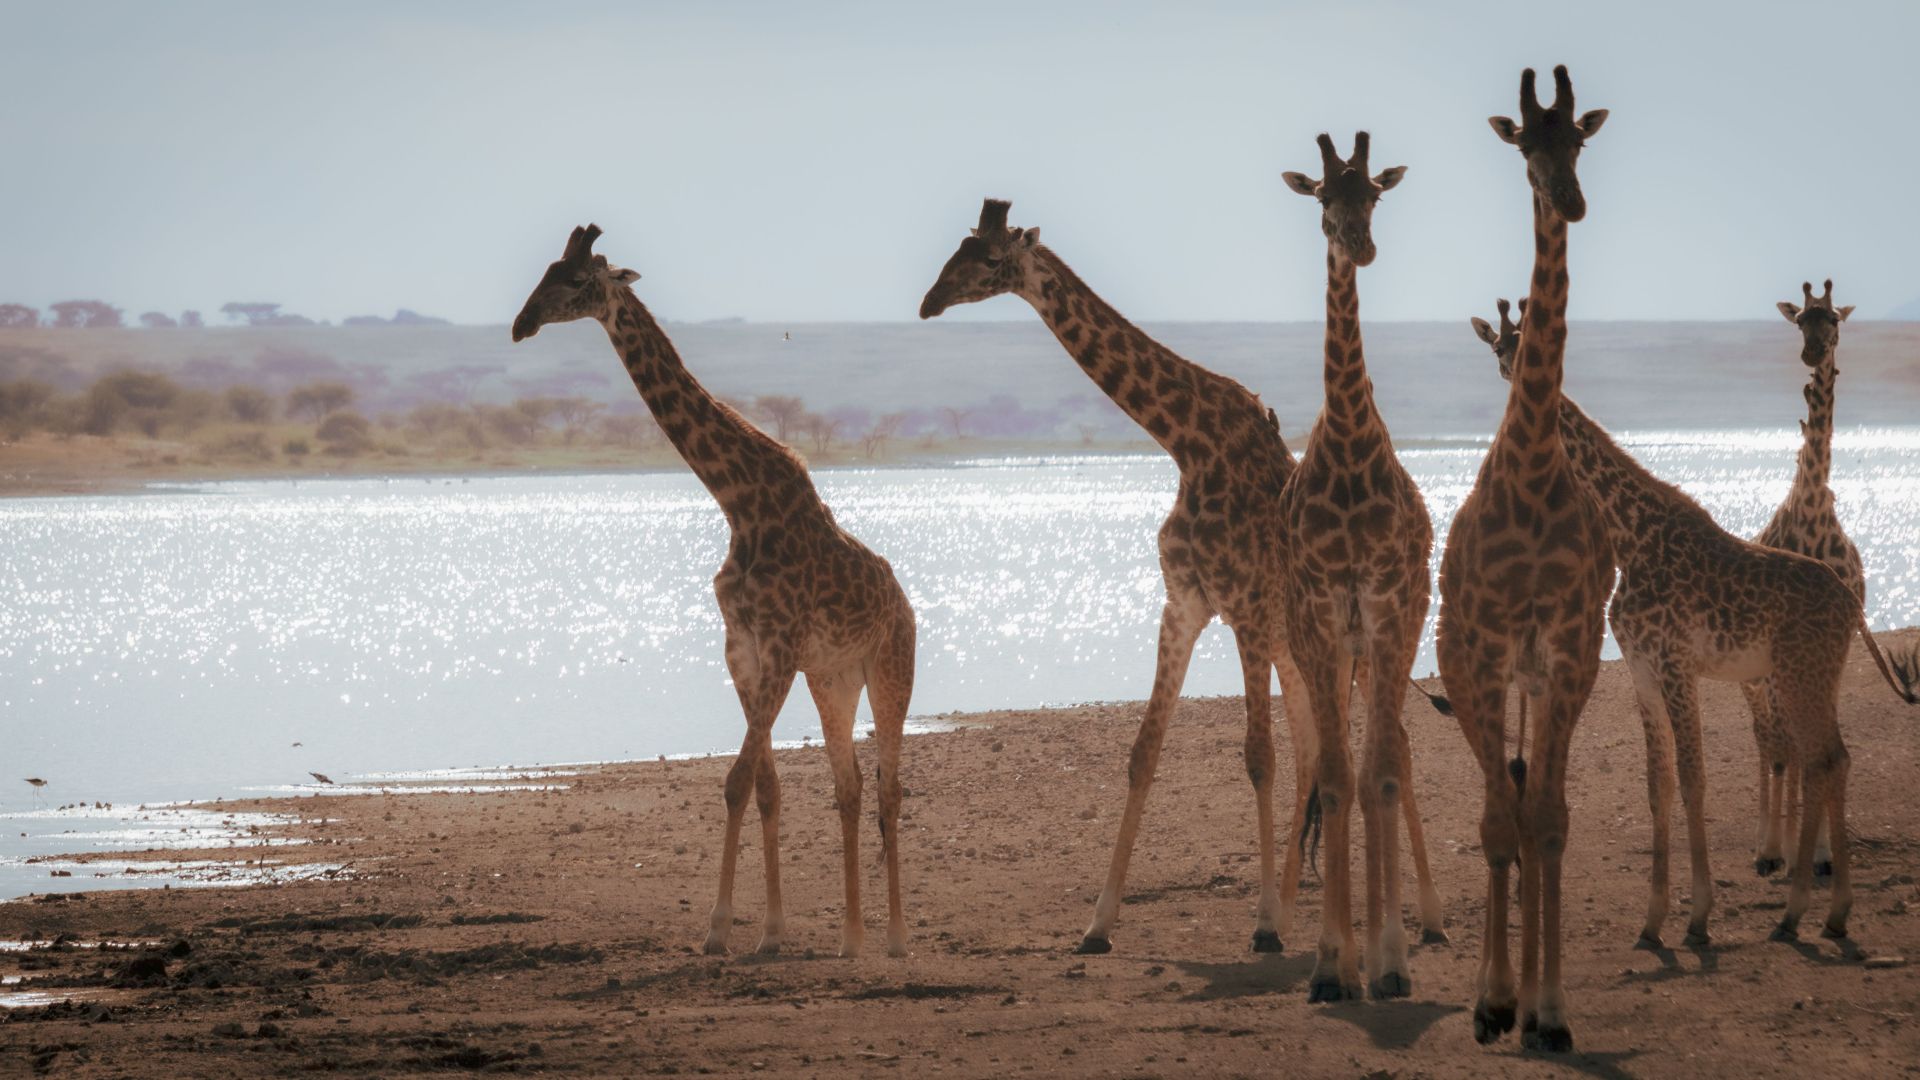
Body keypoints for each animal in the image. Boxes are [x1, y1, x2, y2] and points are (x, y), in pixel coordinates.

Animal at [512, 225, 918, 959]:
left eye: (577, 280)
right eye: (545, 271)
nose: (520, 324)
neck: (738, 500)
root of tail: (904, 601)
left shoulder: (781, 644)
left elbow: (736, 780)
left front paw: (719, 927)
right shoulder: (743, 646)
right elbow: (762, 786)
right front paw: (770, 931)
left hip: (891, 668)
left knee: (889, 790)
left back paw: (897, 939)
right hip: (834, 679)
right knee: (848, 786)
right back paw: (850, 938)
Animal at [918, 198, 1446, 956]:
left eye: (990, 259)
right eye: (957, 249)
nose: (929, 302)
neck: (1188, 444)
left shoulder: (1247, 610)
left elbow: (1258, 757)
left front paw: (1263, 925)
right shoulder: (1185, 605)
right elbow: (1144, 753)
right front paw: (1099, 924)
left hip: (1368, 640)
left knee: (1393, 748)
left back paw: (1422, 916)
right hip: (1306, 655)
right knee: (1323, 753)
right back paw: (1312, 911)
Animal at [1468, 294, 1920, 958]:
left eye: (1523, 341)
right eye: (1497, 345)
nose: (1509, 371)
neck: (1628, 537)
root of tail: (1852, 601)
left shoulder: (1678, 663)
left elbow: (1694, 779)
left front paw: (1699, 917)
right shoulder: (1641, 670)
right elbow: (1657, 786)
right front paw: (1652, 921)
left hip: (1800, 673)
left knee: (1827, 757)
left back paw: (1812, 910)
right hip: (1805, 675)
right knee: (1825, 759)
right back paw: (1817, 915)